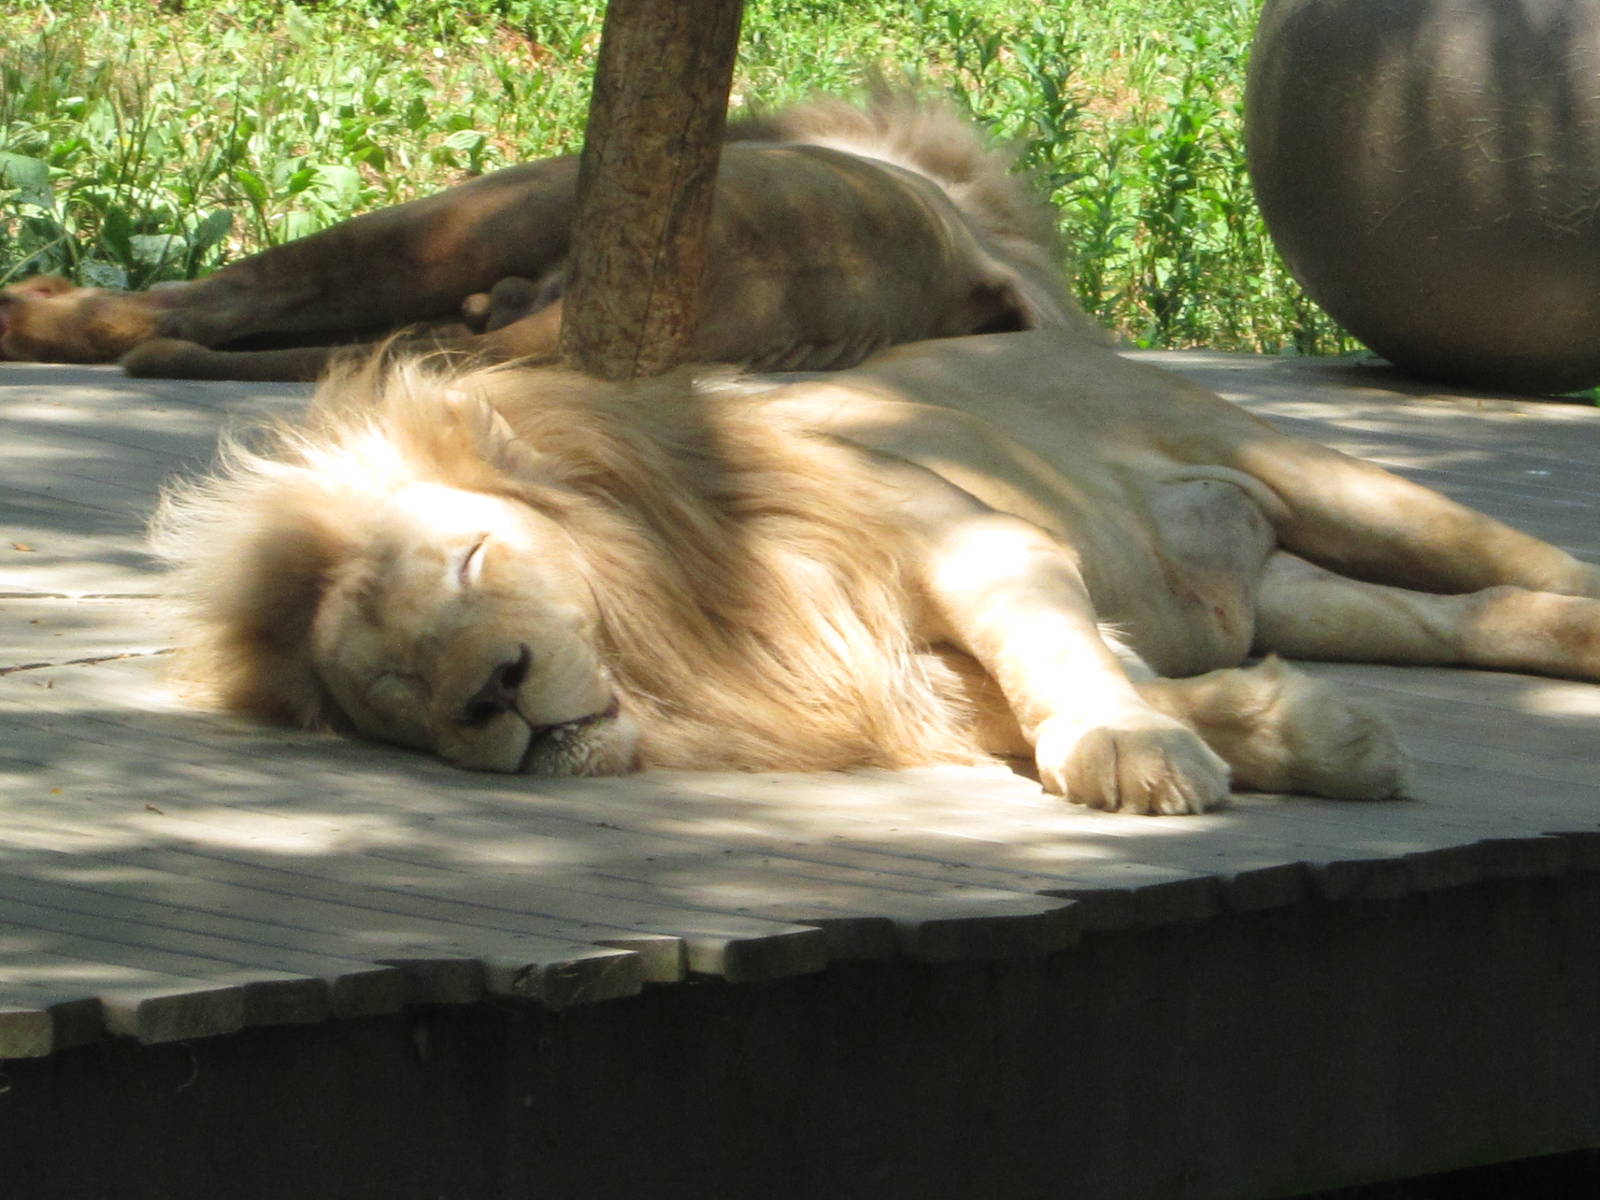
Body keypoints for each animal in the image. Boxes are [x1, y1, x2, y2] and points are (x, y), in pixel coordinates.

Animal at [149, 328, 1600, 814]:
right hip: (1316, 592)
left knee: (1537, 557)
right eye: (397, 687)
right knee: (1487, 619)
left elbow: (1049, 655)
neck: (692, 643)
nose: (494, 687)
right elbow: (1074, 693)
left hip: (1335, 483)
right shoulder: (880, 685)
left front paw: (1134, 759)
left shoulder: (974, 541)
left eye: (473, 558)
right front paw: (1306, 733)